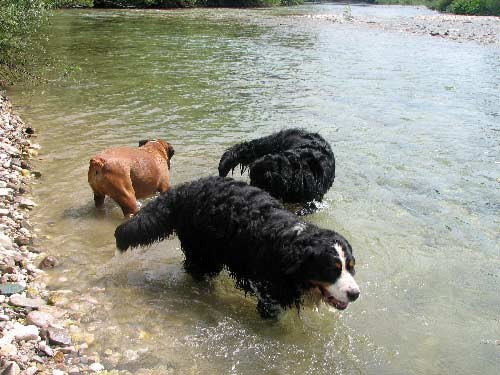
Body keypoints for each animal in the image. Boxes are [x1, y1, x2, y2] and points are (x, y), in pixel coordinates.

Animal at [114, 178, 360, 318]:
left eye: (351, 267)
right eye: (331, 269)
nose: (355, 294)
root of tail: (185, 189)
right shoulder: (268, 293)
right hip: (203, 252)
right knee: (196, 270)